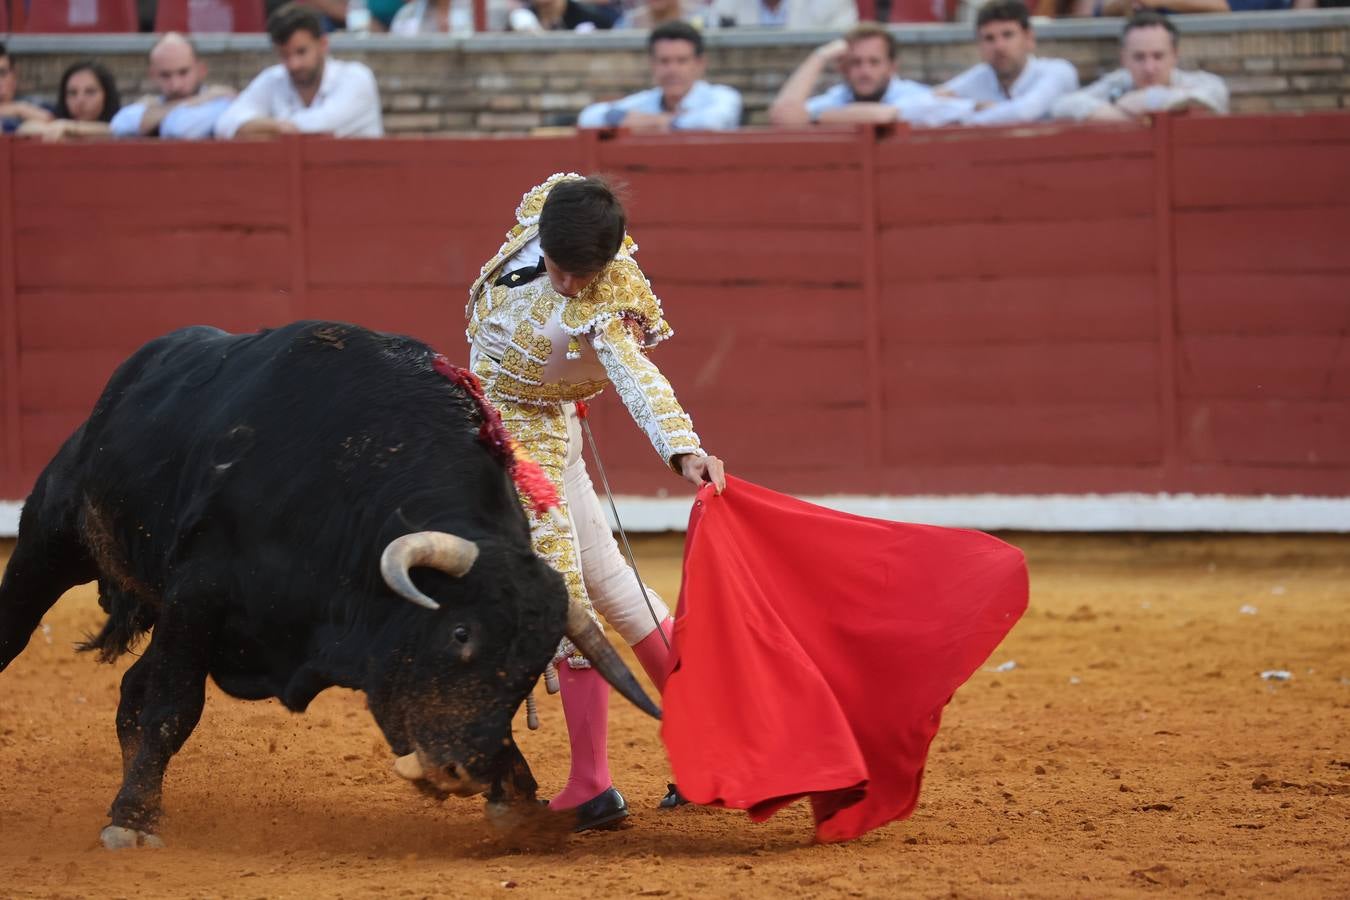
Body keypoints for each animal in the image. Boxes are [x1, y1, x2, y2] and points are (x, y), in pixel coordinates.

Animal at [0, 322, 656, 852]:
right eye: (460, 632)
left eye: (527, 670)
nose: (464, 770)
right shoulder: (198, 593)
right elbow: (173, 708)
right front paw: (131, 823)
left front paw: (518, 801)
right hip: (52, 539)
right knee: (26, 627)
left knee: (132, 690)